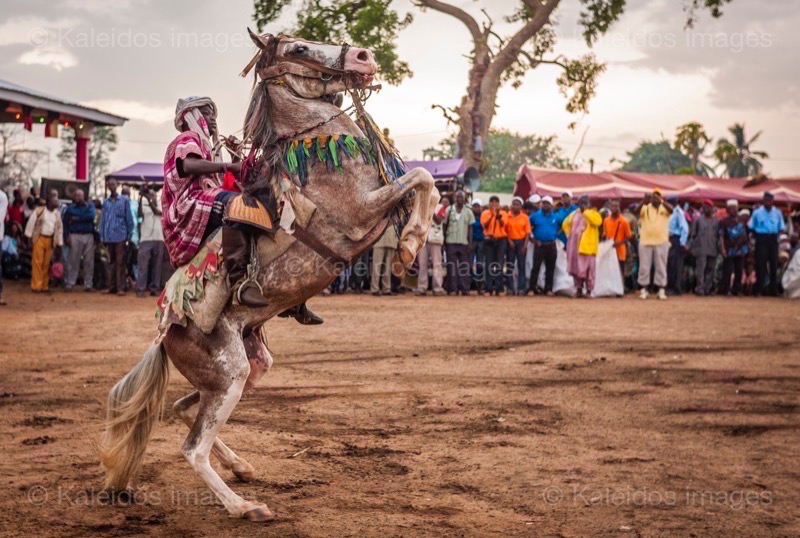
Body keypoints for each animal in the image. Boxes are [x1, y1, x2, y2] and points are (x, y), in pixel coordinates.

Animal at [101, 30, 440, 520]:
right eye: (297, 47)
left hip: (244, 369)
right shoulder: (359, 214)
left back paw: (241, 467)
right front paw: (409, 246)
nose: (362, 56)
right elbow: (421, 177)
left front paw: (411, 241)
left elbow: (424, 184)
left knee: (184, 407)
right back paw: (245, 506)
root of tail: (166, 333)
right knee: (193, 448)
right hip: (231, 374)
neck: (317, 151)